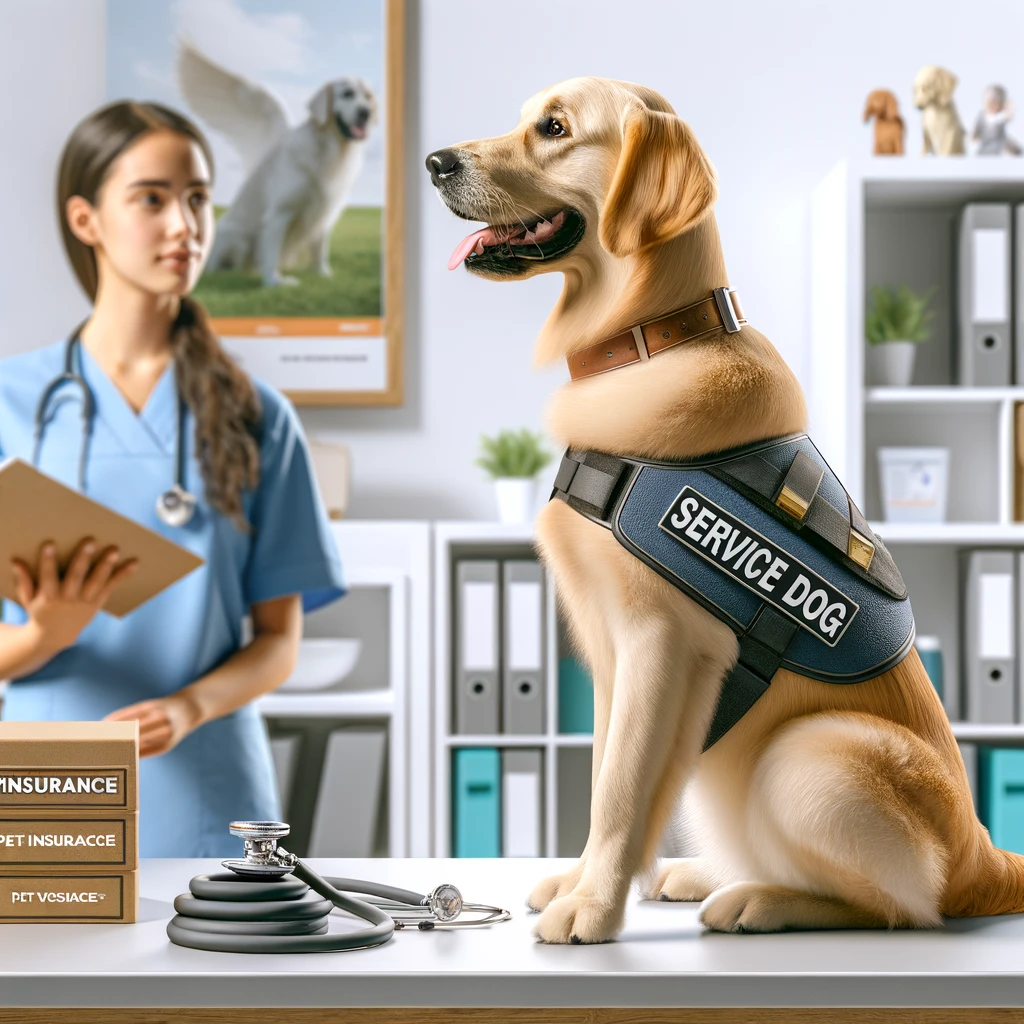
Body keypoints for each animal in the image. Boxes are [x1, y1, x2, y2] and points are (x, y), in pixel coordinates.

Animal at [425, 77, 1024, 942]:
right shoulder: (609, 653)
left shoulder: (659, 643)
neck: (656, 340)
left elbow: (619, 789)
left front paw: (593, 910)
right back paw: (706, 873)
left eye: (556, 128)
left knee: (901, 908)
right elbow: (607, 774)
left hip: (804, 752)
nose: (436, 162)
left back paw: (759, 899)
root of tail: (986, 857)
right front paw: (585, 883)